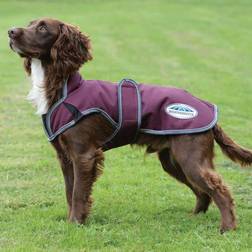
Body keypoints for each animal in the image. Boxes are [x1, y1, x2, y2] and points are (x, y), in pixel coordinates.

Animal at [7, 18, 252, 234]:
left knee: (219, 189)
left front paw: (75, 223)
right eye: (30, 24)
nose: (10, 31)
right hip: (173, 160)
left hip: (190, 158)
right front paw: (74, 221)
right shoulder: (65, 156)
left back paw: (228, 227)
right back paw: (194, 217)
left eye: (42, 28)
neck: (64, 89)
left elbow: (77, 193)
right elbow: (70, 191)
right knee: (203, 191)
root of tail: (207, 106)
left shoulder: (83, 154)